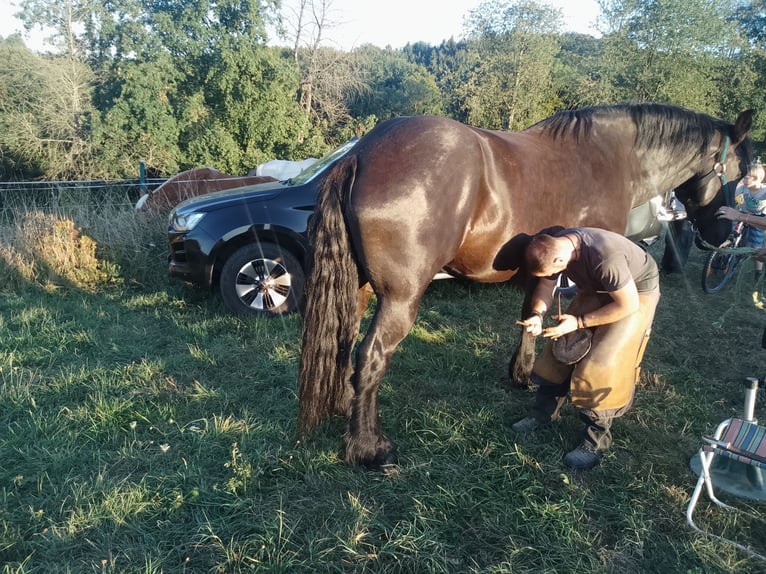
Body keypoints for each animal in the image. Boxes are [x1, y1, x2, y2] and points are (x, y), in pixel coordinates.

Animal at [298, 102, 753, 469]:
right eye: (741, 171)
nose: (725, 235)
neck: (610, 157)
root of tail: (361, 153)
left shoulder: (547, 270)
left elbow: (532, 315)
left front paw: (522, 374)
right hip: (400, 298)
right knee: (372, 356)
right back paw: (368, 447)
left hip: (358, 291)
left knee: (344, 342)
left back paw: (343, 407)